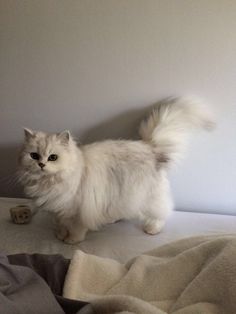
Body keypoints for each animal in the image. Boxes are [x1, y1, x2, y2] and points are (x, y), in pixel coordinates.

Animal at [18, 97, 214, 243]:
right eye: (34, 156)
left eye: (53, 157)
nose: (41, 164)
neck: (49, 183)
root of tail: (150, 147)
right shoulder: (58, 212)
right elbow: (60, 225)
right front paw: (60, 236)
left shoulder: (77, 211)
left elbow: (75, 229)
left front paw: (71, 240)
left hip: (148, 197)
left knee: (163, 212)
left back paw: (152, 229)